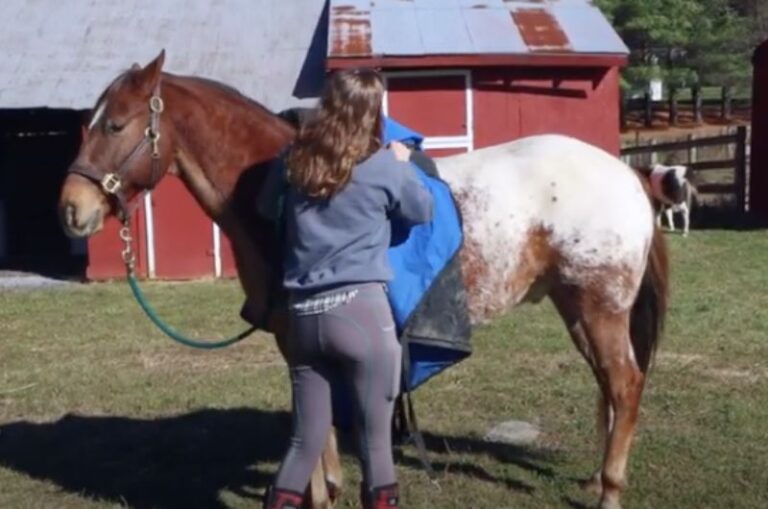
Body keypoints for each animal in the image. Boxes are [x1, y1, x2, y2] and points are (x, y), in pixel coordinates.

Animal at [58, 52, 668, 509]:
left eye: (114, 125)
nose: (71, 208)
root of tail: (628, 173)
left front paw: (322, 492)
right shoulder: (301, 338)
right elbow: (320, 419)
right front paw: (328, 486)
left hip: (600, 306)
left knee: (625, 384)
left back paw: (610, 491)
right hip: (577, 308)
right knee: (609, 386)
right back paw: (596, 477)